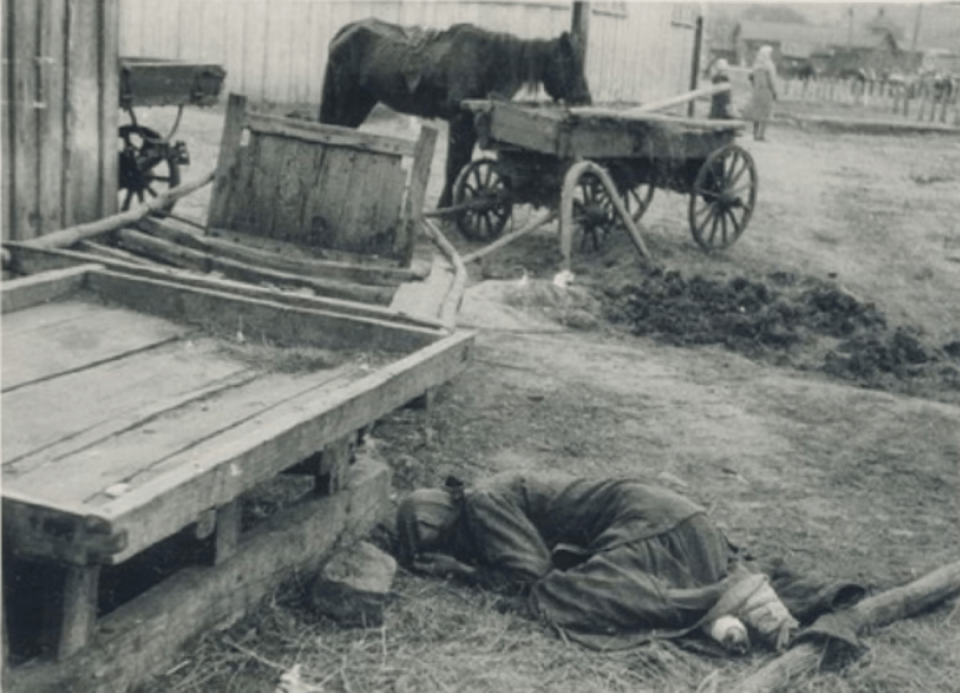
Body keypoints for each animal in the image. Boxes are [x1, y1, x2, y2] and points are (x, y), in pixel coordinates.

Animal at [320, 18, 592, 207]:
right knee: (336, 130)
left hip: (361, 102)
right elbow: (454, 164)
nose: (586, 99)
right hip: (348, 100)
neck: (487, 58)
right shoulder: (460, 122)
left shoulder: (471, 124)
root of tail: (348, 29)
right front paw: (445, 207)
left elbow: (462, 162)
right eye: (570, 64)